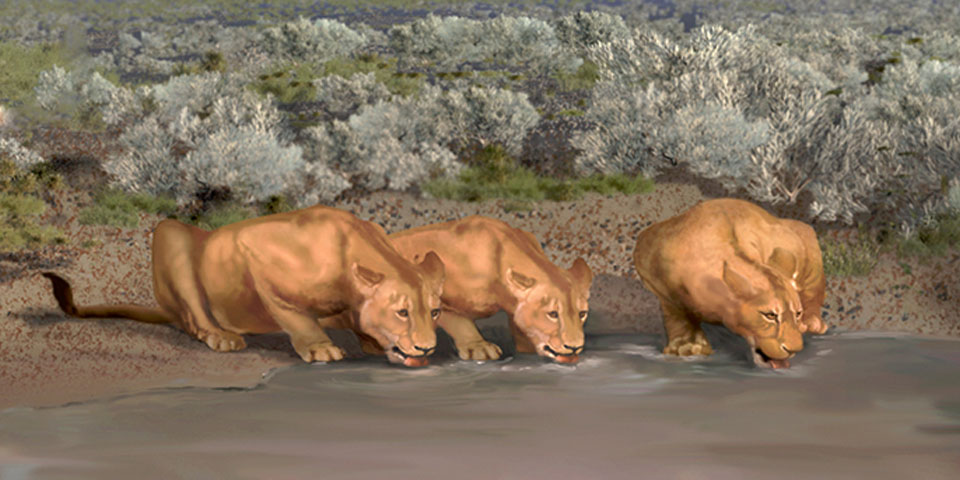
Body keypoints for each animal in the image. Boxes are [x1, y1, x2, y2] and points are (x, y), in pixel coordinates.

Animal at [42, 205, 445, 367]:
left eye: (435, 311)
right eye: (402, 312)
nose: (427, 347)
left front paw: (370, 341)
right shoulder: (259, 254)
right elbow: (296, 317)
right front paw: (320, 348)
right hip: (169, 234)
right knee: (194, 316)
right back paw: (222, 336)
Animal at [367, 216, 593, 363]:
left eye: (582, 314)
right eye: (553, 314)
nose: (575, 347)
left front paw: (527, 348)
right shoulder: (438, 296)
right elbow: (460, 323)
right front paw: (479, 348)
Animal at [633, 198, 828, 368]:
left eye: (797, 313)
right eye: (769, 315)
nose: (794, 349)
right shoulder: (657, 277)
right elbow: (676, 315)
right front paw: (686, 346)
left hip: (803, 233)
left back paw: (813, 324)